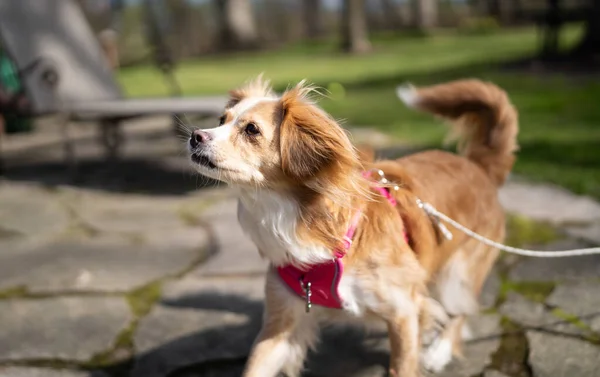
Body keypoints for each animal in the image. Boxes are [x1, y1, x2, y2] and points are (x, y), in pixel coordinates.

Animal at [186, 76, 516, 376]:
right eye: (221, 120)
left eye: (251, 129)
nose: (195, 136)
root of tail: (477, 166)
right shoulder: (281, 323)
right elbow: (257, 365)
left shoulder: (403, 312)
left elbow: (402, 365)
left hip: (457, 273)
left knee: (459, 312)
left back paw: (438, 352)